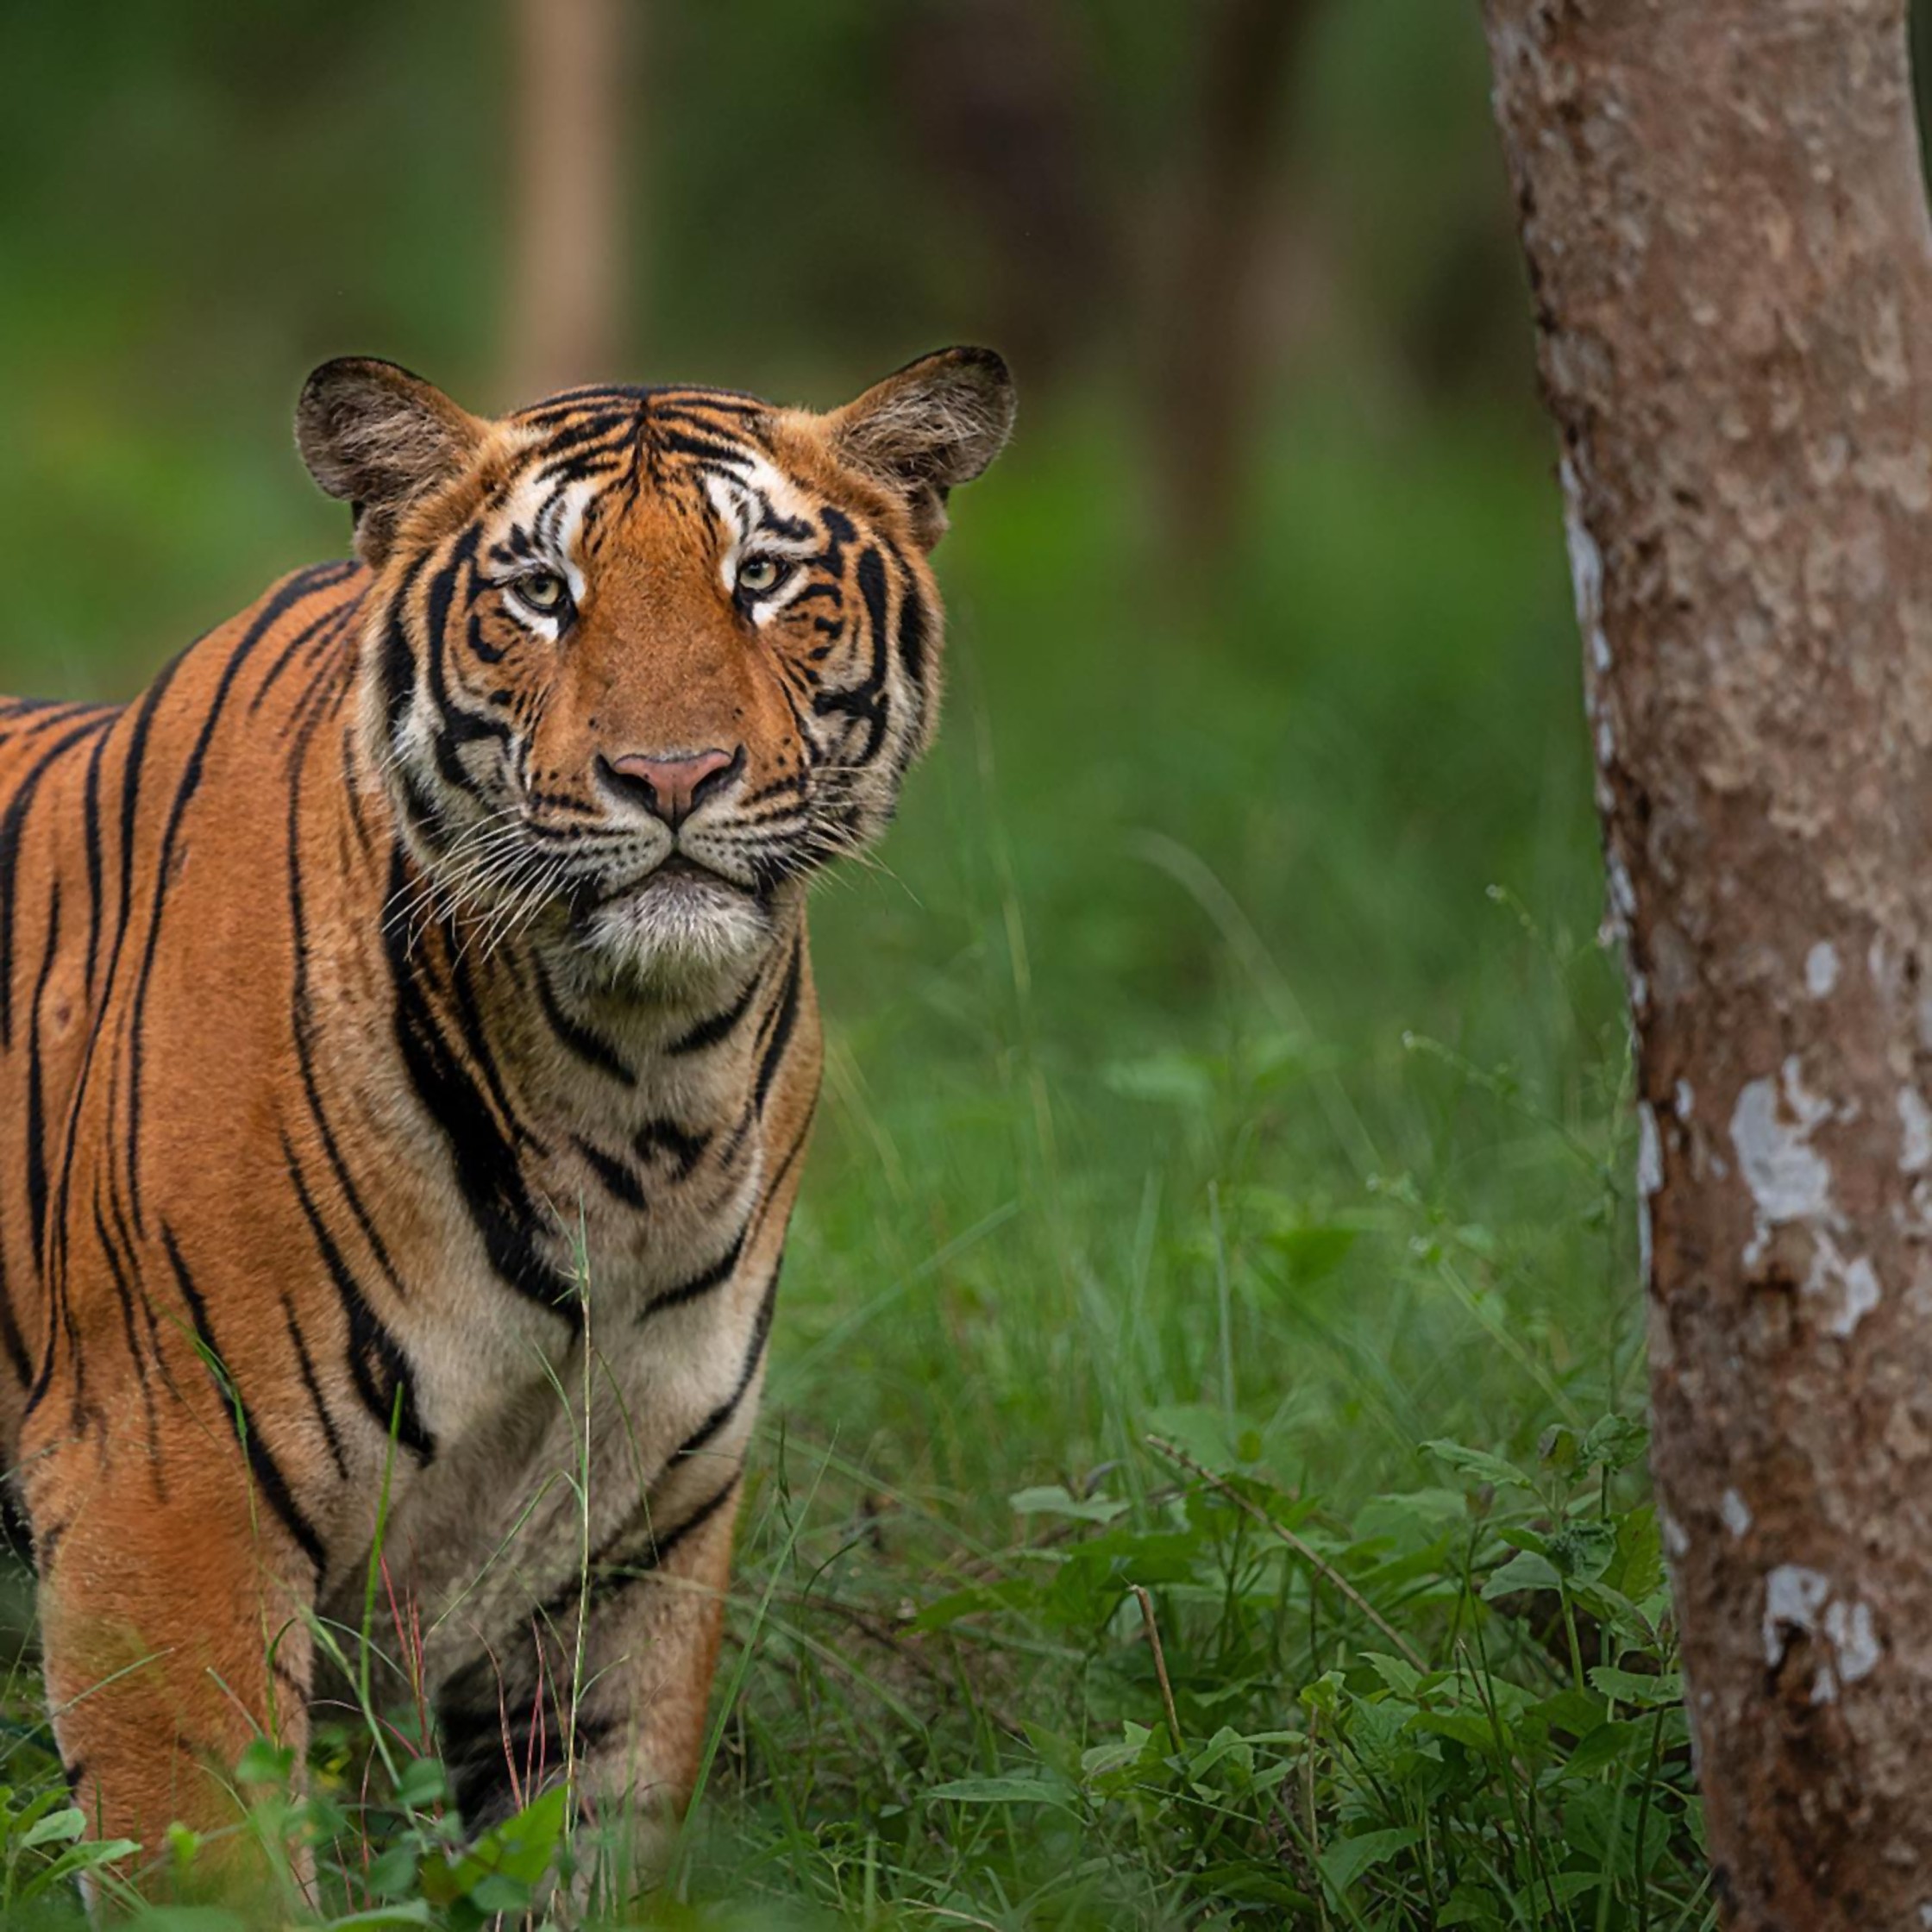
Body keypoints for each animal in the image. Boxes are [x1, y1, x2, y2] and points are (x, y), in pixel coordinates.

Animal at [0, 345, 1013, 1889]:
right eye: (542, 591)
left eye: (762, 576)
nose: (673, 775)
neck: (636, 1089)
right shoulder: (163, 1485)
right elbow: (215, 1867)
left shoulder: (628, 1538)